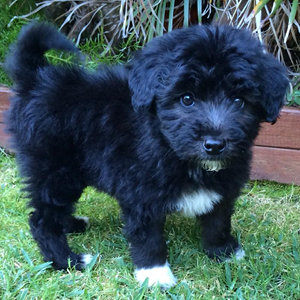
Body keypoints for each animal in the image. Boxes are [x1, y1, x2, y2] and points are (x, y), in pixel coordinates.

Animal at [5, 22, 288, 288]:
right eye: (187, 99)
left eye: (239, 101)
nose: (215, 144)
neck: (170, 147)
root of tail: (36, 79)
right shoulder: (139, 192)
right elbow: (147, 235)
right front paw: (155, 274)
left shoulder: (224, 187)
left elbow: (218, 219)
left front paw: (223, 251)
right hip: (55, 171)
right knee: (42, 219)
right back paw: (67, 261)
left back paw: (73, 225)